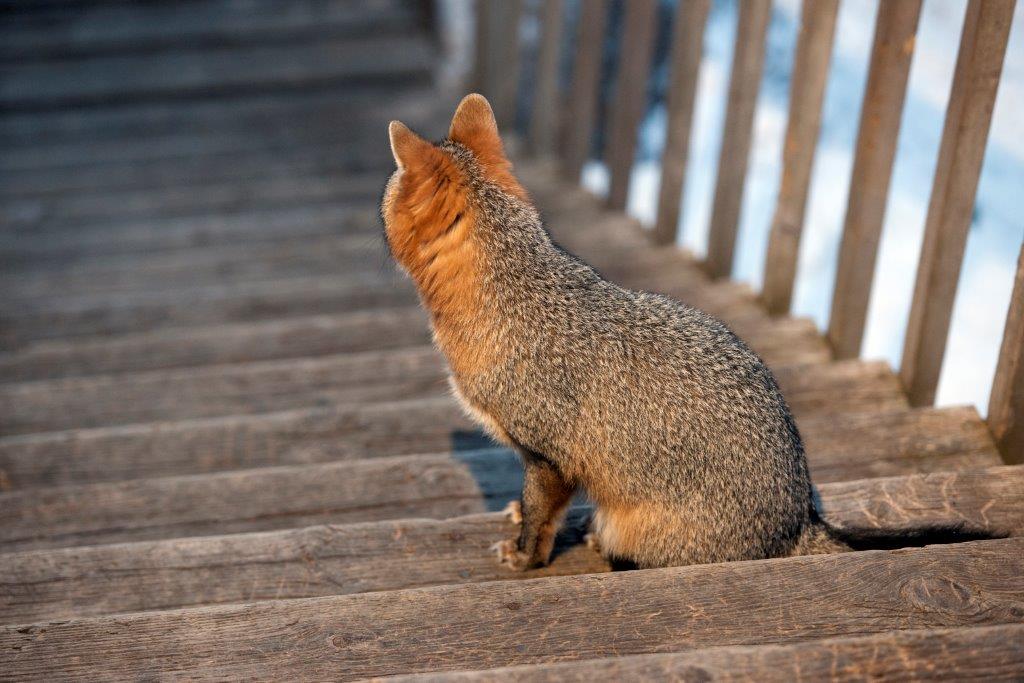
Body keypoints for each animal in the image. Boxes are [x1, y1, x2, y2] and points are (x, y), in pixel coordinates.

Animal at [380, 93, 993, 571]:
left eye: (384, 199)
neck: (517, 297)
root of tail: (798, 519)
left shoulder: (550, 456)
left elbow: (542, 520)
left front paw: (525, 552)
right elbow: (531, 504)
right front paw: (514, 511)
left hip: (629, 525)